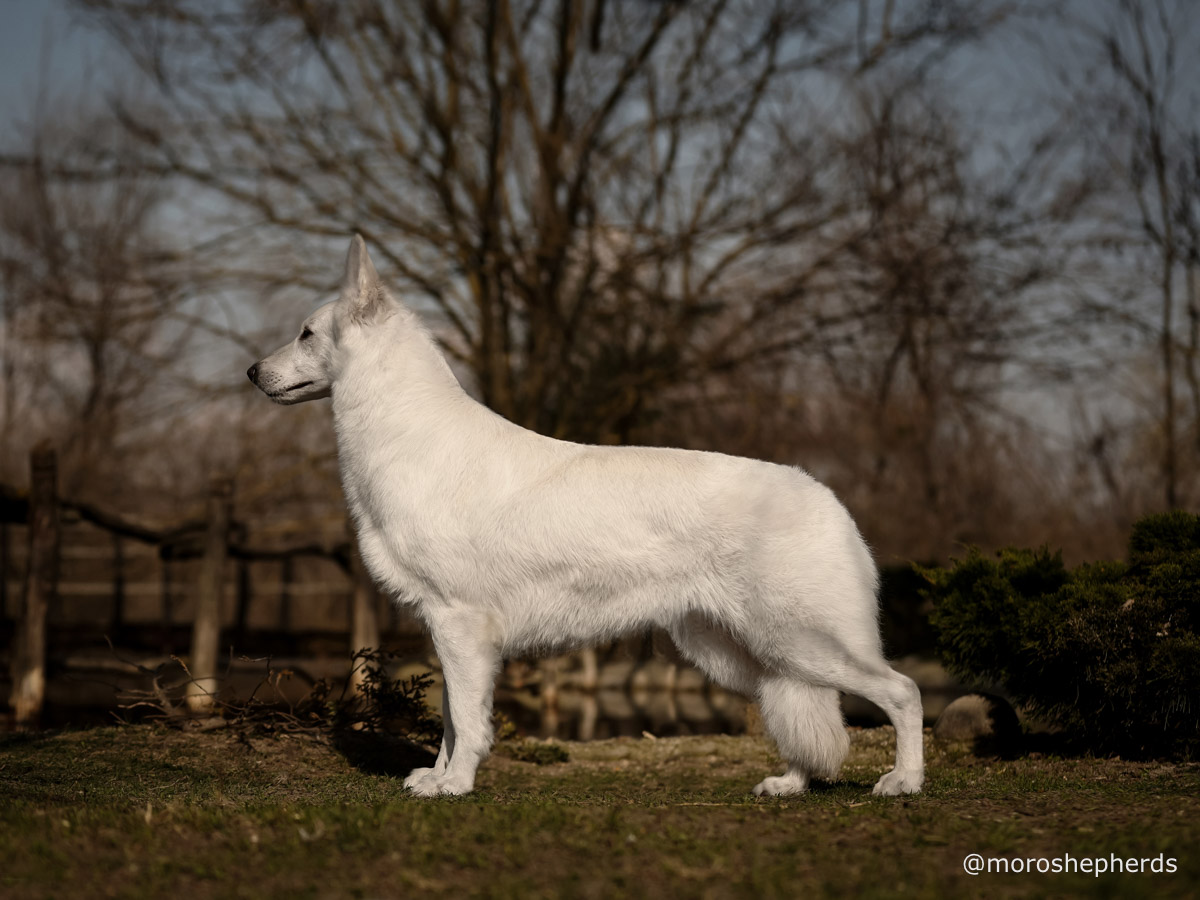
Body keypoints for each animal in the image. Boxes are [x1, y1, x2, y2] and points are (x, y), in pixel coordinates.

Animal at [248, 236, 926, 801]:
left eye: (307, 334)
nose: (252, 372)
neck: (403, 428)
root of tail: (830, 498)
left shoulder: (460, 625)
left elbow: (464, 721)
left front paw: (456, 785)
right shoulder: (449, 633)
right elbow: (449, 721)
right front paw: (438, 777)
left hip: (800, 639)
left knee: (905, 692)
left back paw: (904, 781)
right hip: (752, 654)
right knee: (803, 712)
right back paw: (791, 784)